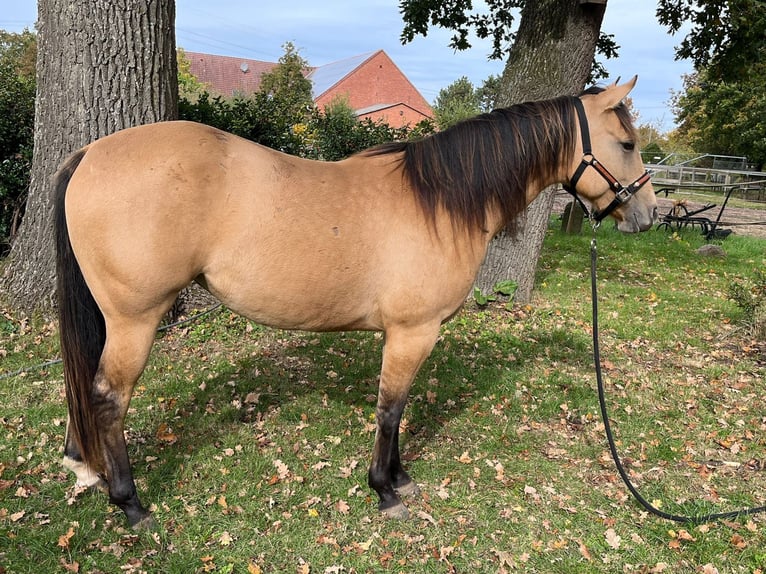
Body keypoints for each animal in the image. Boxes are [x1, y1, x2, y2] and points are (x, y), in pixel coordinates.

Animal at [54, 76, 656, 532]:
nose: (648, 214)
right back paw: (130, 503)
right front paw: (384, 489)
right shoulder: (414, 331)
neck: (440, 201)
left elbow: (401, 406)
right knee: (108, 398)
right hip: (134, 320)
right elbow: (391, 407)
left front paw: (401, 476)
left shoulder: (409, 334)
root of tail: (90, 154)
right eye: (626, 144)